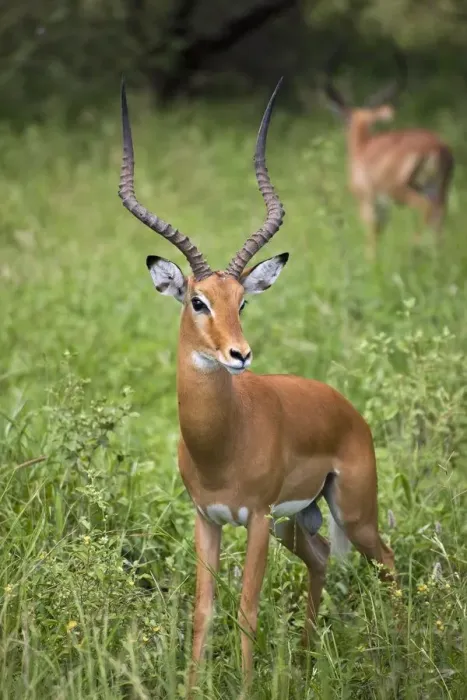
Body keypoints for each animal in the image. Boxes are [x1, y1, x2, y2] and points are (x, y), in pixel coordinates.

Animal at [118, 78, 395, 695]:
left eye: (243, 302)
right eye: (198, 301)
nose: (239, 354)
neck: (223, 442)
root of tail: (347, 408)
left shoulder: (259, 519)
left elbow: (246, 607)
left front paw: (245, 687)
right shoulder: (206, 518)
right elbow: (203, 609)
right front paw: (193, 687)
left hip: (352, 512)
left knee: (388, 562)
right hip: (302, 521)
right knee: (322, 558)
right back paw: (309, 658)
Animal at [323, 50, 454, 259]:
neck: (362, 148)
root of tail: (437, 147)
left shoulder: (369, 202)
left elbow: (372, 236)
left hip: (403, 190)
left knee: (427, 209)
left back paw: (415, 248)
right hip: (440, 190)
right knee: (439, 218)